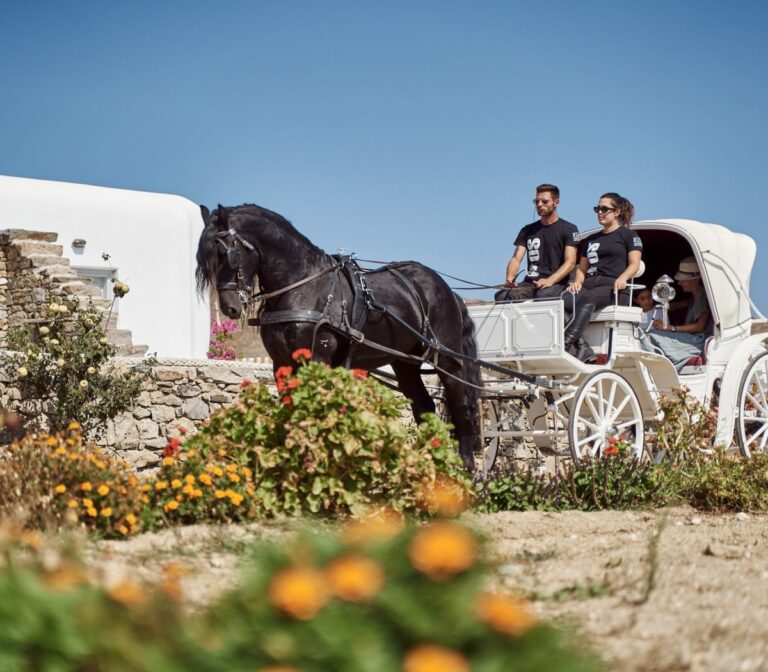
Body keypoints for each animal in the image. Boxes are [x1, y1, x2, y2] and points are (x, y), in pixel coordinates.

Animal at [195, 202, 476, 470]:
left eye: (227, 254)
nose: (230, 307)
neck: (304, 284)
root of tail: (448, 291)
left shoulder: (318, 359)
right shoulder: (282, 364)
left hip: (448, 361)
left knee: (461, 407)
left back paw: (466, 468)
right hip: (404, 362)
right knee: (424, 407)